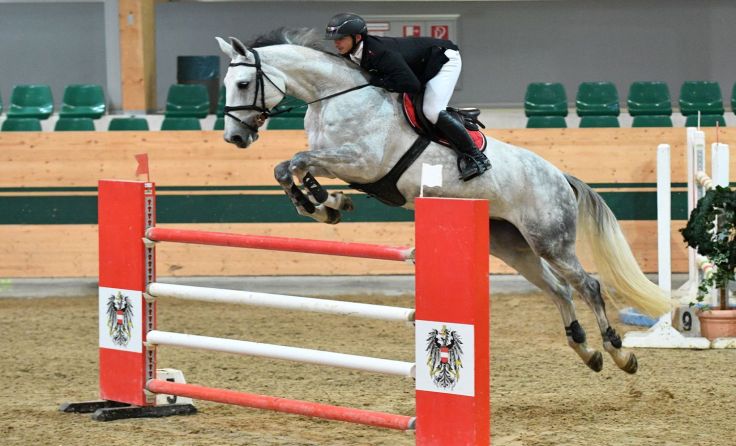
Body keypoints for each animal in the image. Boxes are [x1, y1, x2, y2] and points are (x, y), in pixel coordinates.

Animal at [216, 28, 671, 375]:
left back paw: (619, 352)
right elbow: (288, 167)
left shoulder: (361, 161)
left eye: (243, 84)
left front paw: (325, 203)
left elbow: (296, 161)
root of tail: (560, 176)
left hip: (550, 240)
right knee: (559, 289)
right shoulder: (341, 162)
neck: (337, 93)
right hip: (511, 245)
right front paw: (325, 205)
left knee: (587, 285)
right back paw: (586, 351)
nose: (234, 138)